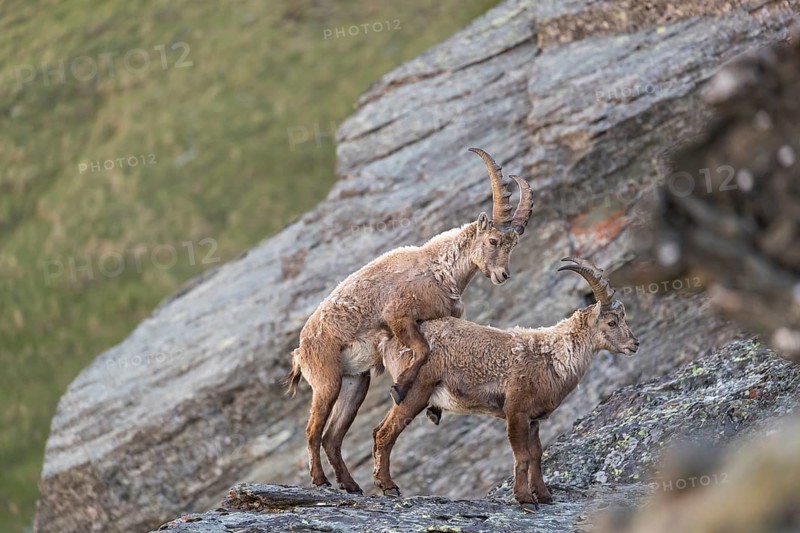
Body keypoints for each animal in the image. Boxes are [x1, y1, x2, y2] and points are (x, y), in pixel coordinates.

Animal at [286, 148, 535, 494]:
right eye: (493, 241)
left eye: (512, 244)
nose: (502, 275)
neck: (439, 269)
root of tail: (300, 350)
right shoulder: (398, 315)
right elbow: (422, 349)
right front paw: (401, 388)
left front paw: (430, 407)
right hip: (326, 380)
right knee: (313, 431)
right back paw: (322, 480)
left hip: (355, 382)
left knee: (332, 436)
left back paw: (352, 485)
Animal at [372, 257, 639, 511]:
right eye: (612, 322)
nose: (634, 344)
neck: (552, 355)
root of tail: (388, 341)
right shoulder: (516, 411)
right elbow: (522, 456)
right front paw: (525, 500)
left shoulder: (534, 418)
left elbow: (536, 454)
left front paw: (544, 496)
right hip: (416, 391)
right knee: (386, 433)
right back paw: (389, 487)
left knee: (378, 430)